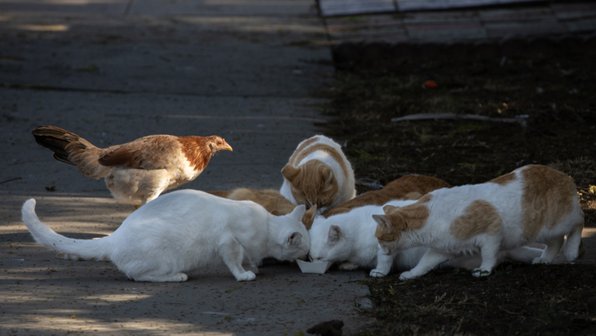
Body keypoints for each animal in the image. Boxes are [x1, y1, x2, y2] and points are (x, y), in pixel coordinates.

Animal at [21, 190, 310, 282]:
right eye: (304, 249)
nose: (309, 256)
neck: (266, 225)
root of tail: (116, 236)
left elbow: (249, 257)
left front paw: (254, 267)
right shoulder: (229, 241)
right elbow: (235, 261)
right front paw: (244, 275)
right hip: (164, 255)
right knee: (138, 275)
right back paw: (178, 276)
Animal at [372, 164, 584, 280]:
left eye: (381, 239)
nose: (380, 250)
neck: (431, 217)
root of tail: (565, 175)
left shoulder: (492, 232)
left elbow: (489, 255)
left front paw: (484, 270)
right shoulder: (442, 249)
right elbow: (424, 263)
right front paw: (411, 274)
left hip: (557, 222)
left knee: (579, 222)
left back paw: (572, 252)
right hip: (541, 231)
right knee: (556, 241)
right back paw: (545, 258)